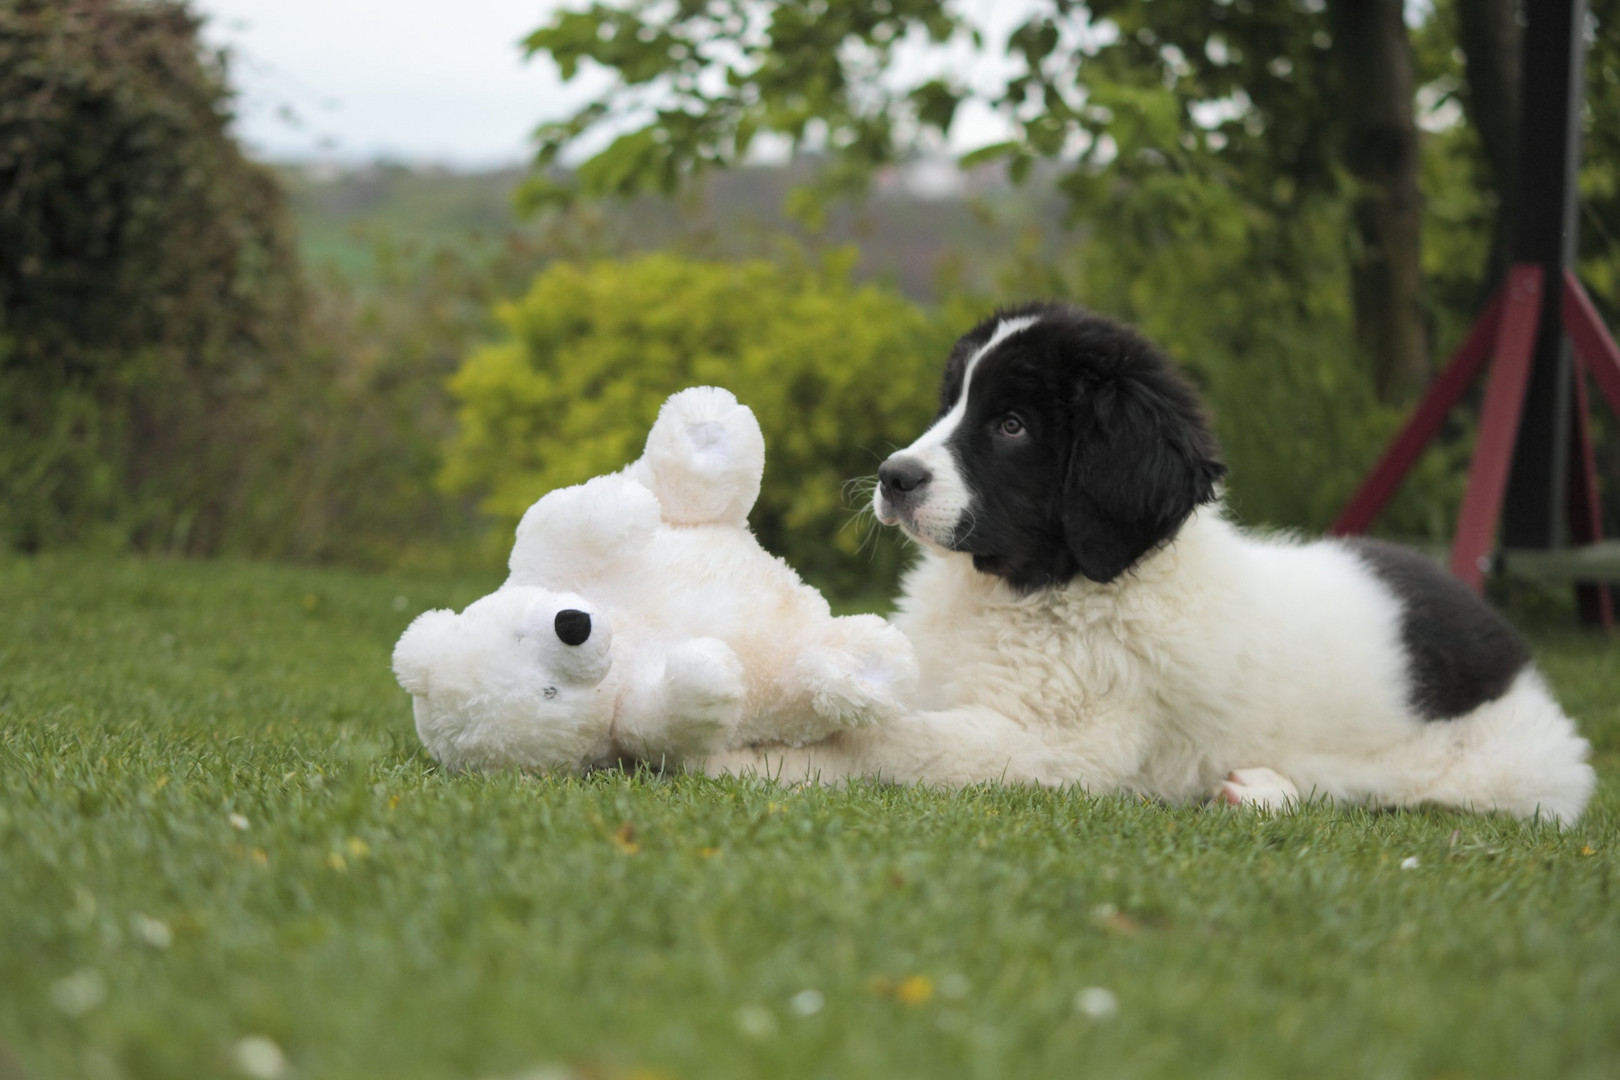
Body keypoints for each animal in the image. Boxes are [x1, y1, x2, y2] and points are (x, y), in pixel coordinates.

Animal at [716, 299, 1600, 822]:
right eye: (951, 405)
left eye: (1011, 426)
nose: (894, 478)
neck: (1042, 587)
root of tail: (1511, 647)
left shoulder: (1062, 750)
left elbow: (905, 744)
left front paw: (766, 758)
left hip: (1492, 777)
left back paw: (1263, 790)